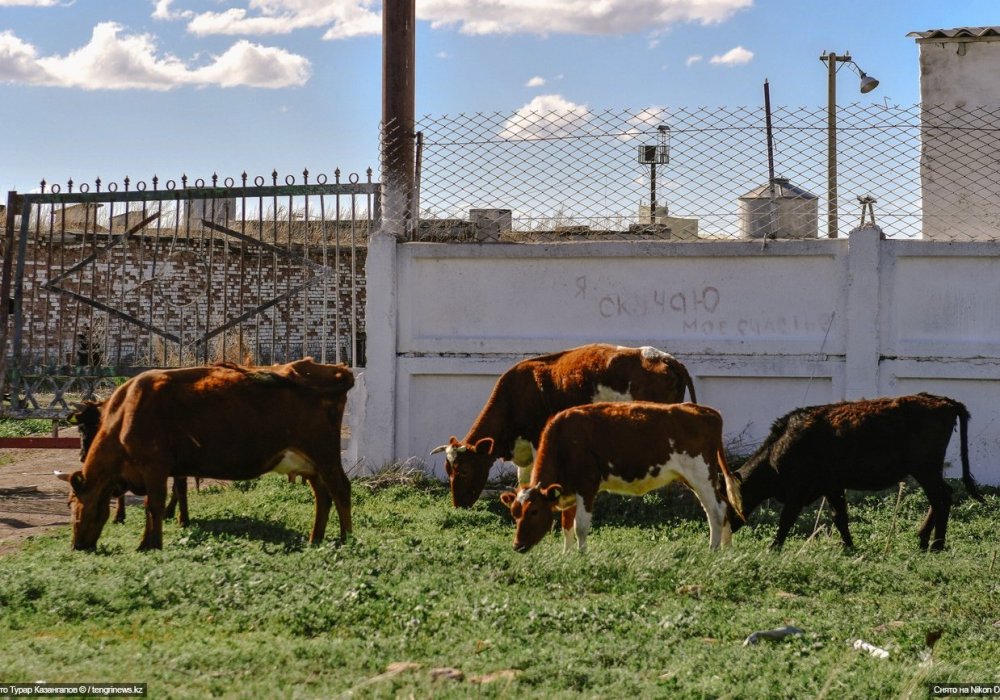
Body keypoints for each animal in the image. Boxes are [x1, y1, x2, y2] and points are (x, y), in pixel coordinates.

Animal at [64, 360, 354, 552]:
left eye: (73, 503)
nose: (77, 545)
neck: (126, 414)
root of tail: (338, 370)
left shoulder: (154, 466)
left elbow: (153, 505)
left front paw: (149, 545)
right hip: (310, 462)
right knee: (323, 496)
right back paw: (315, 539)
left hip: (324, 454)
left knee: (340, 490)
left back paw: (346, 538)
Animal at [430, 344, 696, 508]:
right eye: (447, 470)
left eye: (464, 470)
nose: (458, 505)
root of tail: (664, 357)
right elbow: (522, 476)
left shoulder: (537, 439)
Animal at [498, 402, 740, 556]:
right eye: (514, 513)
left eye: (534, 511)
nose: (517, 546)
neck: (564, 441)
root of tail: (707, 412)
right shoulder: (568, 490)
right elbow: (566, 525)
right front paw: (566, 554)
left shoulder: (587, 486)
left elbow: (580, 526)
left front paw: (581, 555)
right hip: (694, 478)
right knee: (723, 506)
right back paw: (726, 548)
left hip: (701, 475)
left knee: (715, 510)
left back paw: (712, 550)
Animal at [728, 392, 984, 548]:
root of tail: (944, 401)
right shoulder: (831, 486)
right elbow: (839, 516)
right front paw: (849, 546)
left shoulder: (797, 492)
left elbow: (786, 520)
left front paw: (773, 548)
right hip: (927, 470)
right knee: (940, 497)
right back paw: (923, 540)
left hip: (925, 468)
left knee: (942, 498)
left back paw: (936, 544)